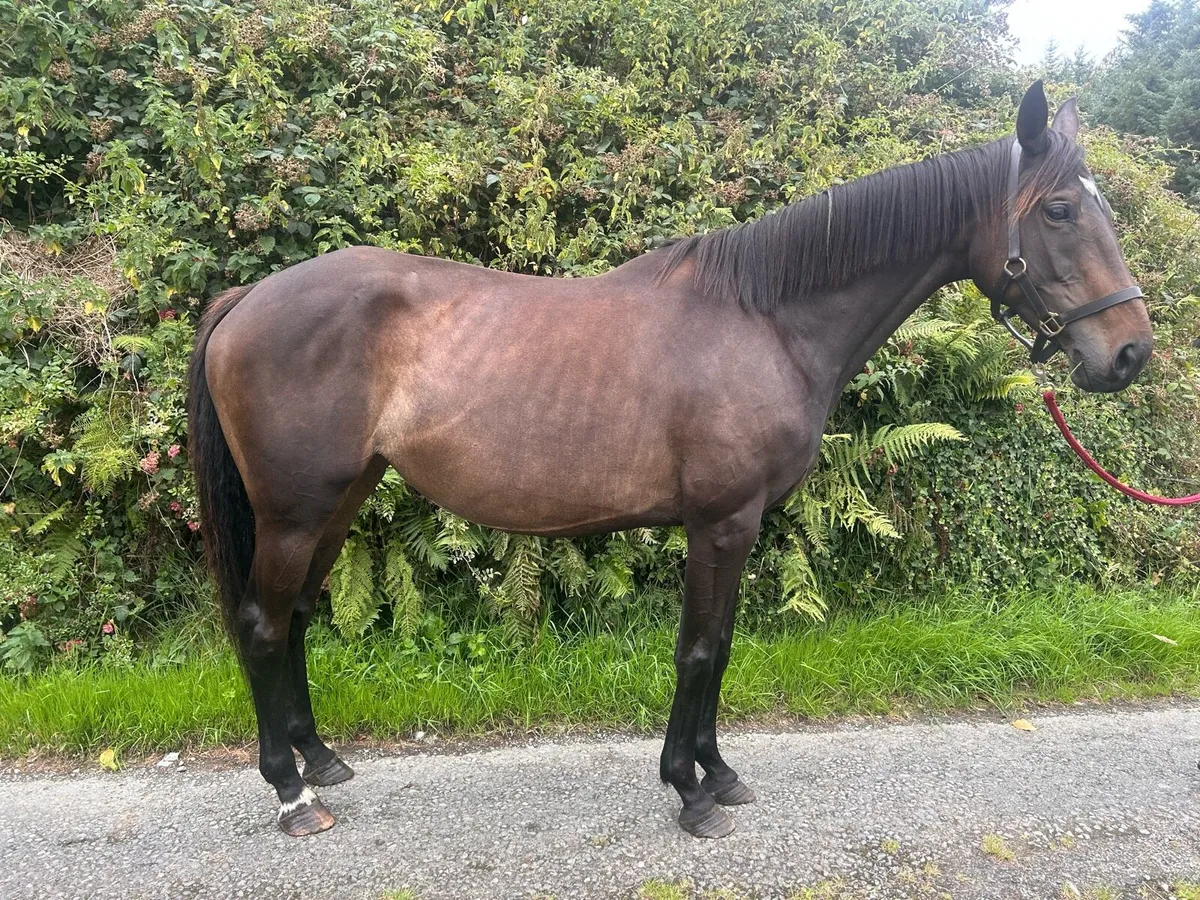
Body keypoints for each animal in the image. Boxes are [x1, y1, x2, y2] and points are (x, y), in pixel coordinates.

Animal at [187, 81, 1152, 839]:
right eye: (1061, 210)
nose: (1130, 354)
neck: (763, 319)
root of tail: (248, 298)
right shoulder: (721, 522)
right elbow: (700, 649)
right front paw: (690, 793)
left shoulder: (737, 525)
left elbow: (718, 651)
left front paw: (718, 774)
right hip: (295, 512)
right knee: (264, 625)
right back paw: (291, 795)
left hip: (339, 500)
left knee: (296, 620)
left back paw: (322, 761)